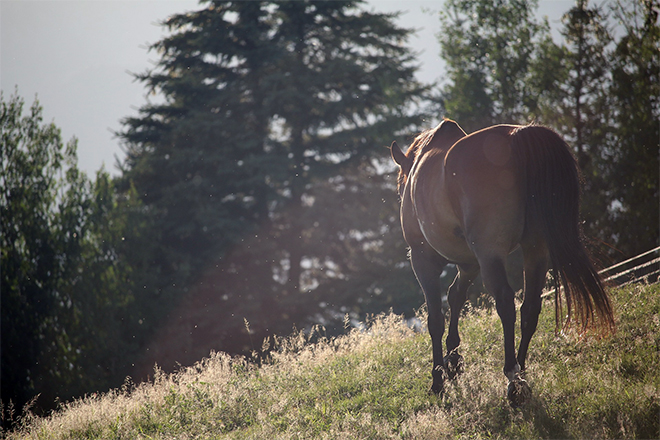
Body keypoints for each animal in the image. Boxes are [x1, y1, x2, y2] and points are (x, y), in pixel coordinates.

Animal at [392, 119, 612, 406]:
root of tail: (519, 136)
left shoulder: (424, 259)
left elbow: (435, 319)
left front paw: (439, 379)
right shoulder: (470, 263)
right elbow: (456, 296)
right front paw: (454, 361)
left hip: (490, 253)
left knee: (506, 303)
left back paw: (512, 379)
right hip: (535, 249)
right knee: (530, 307)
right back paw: (521, 371)